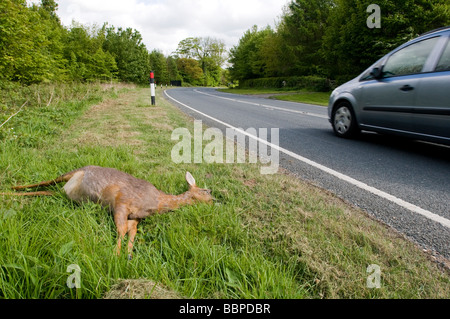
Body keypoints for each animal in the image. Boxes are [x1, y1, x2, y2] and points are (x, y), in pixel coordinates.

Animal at [1, 168, 214, 258]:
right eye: (206, 190)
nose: (215, 201)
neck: (156, 201)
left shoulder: (135, 217)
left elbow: (131, 232)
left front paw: (128, 255)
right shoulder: (121, 201)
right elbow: (121, 230)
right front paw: (115, 255)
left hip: (64, 194)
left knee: (46, 190)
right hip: (72, 173)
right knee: (46, 181)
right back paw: (11, 187)